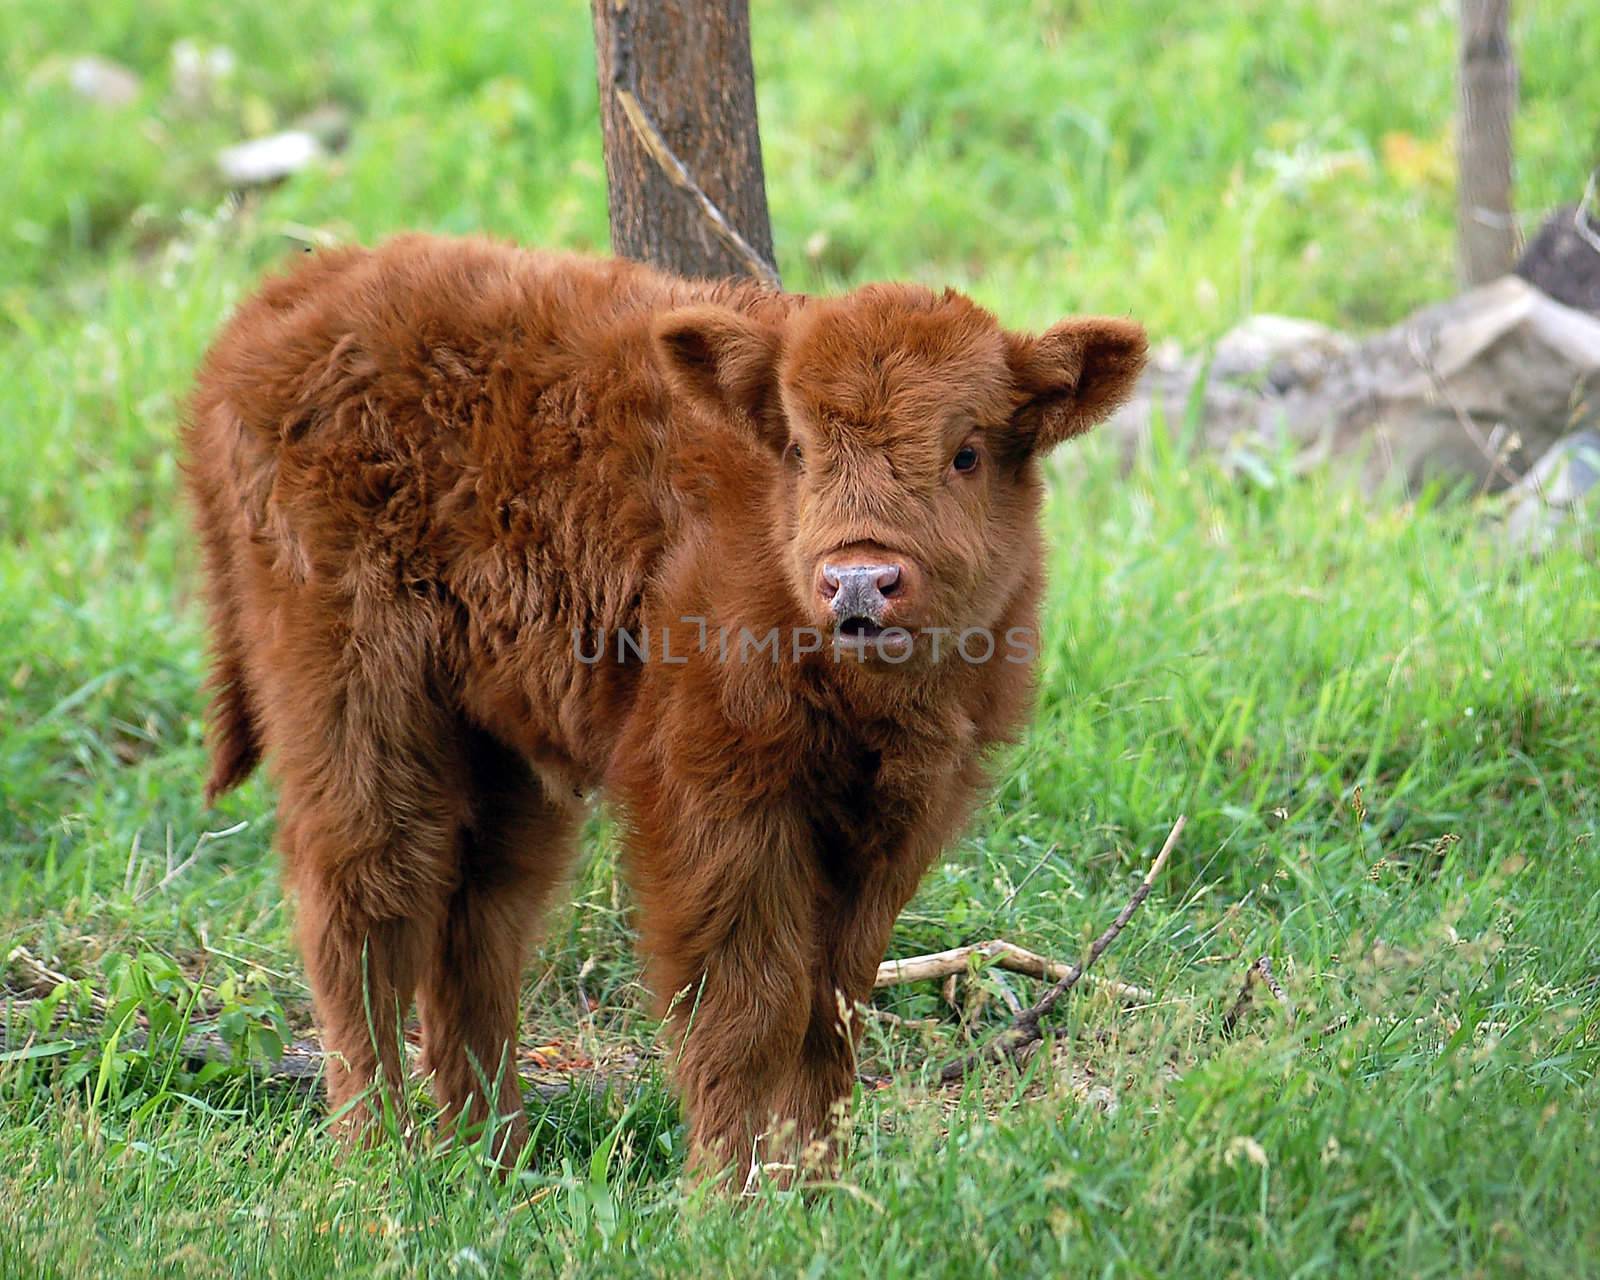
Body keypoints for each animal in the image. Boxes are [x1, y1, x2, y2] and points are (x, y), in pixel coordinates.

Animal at [181, 236, 1145, 1177]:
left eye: (966, 452)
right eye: (799, 449)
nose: (859, 580)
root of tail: (281, 307)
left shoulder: (897, 824)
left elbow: (830, 1008)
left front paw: (816, 1187)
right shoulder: (713, 797)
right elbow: (746, 1006)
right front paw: (729, 1191)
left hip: (496, 741)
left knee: (478, 918)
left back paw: (495, 1160)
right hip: (353, 697)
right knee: (367, 901)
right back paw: (381, 1156)